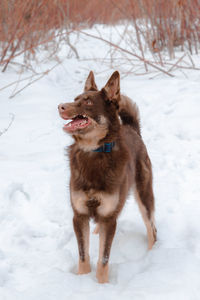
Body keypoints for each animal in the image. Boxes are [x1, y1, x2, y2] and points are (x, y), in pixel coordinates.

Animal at [57, 71, 156, 284]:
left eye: (87, 102)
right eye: (75, 99)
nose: (60, 106)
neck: (93, 152)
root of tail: (132, 128)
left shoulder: (109, 219)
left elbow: (103, 258)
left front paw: (101, 285)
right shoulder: (79, 215)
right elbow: (83, 255)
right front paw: (83, 278)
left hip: (144, 195)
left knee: (152, 229)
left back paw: (153, 253)